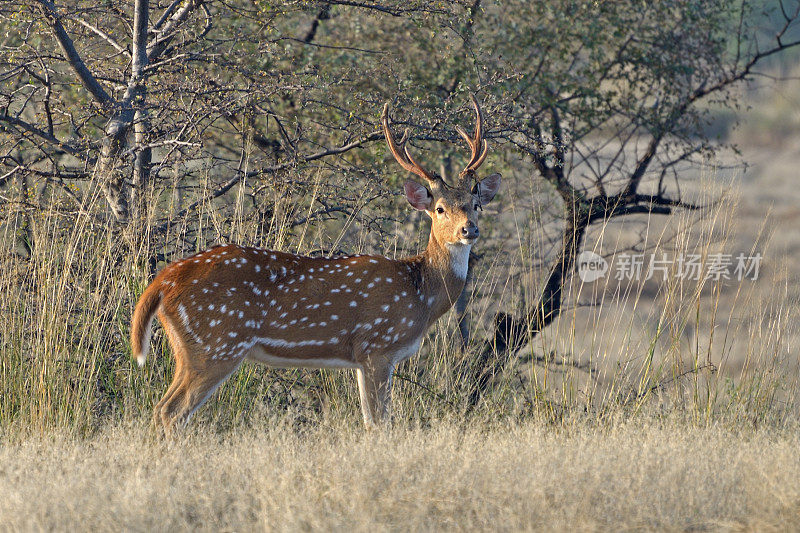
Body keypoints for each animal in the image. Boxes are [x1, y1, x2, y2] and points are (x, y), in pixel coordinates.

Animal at [133, 94, 500, 428]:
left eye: (475, 204)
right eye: (439, 208)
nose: (469, 229)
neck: (420, 293)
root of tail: (162, 281)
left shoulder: (364, 358)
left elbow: (370, 421)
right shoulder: (377, 347)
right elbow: (380, 424)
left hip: (193, 348)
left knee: (162, 408)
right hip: (216, 343)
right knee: (170, 411)